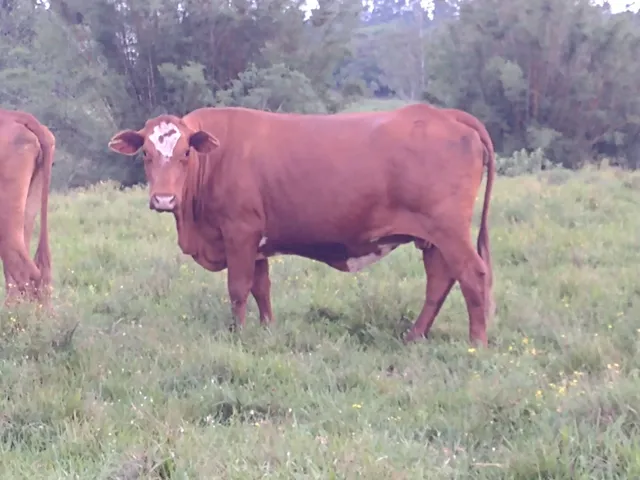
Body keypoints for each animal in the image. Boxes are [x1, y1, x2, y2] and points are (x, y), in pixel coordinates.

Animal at [107, 103, 496, 346]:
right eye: (146, 154)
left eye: (186, 153)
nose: (163, 200)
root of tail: (444, 114)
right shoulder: (257, 242)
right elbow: (261, 288)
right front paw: (267, 329)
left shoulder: (240, 232)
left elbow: (238, 289)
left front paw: (238, 333)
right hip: (432, 238)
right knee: (440, 281)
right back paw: (415, 336)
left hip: (448, 230)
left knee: (473, 275)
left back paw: (476, 343)